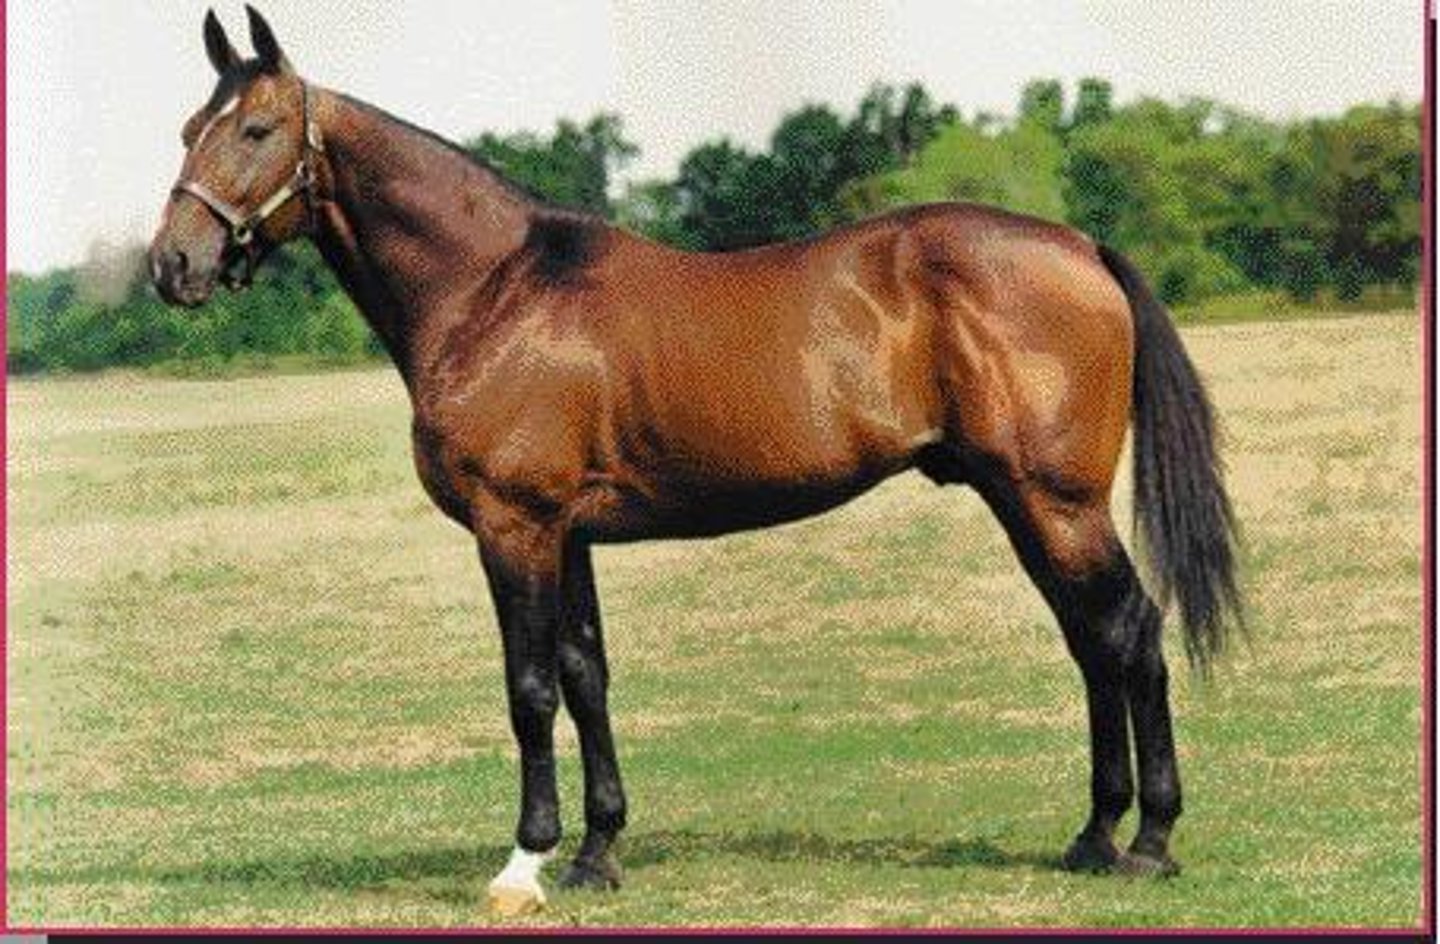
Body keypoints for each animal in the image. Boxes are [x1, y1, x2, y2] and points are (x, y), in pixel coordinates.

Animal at [148, 7, 1242, 916]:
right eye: (188, 127)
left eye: (256, 131)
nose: (173, 265)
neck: (494, 290)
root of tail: (1083, 247)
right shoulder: (567, 531)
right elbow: (585, 676)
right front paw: (597, 853)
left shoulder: (515, 524)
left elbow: (530, 687)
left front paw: (524, 863)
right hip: (1024, 501)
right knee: (1092, 640)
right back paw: (1094, 836)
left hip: (1055, 499)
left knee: (1129, 630)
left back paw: (1149, 839)